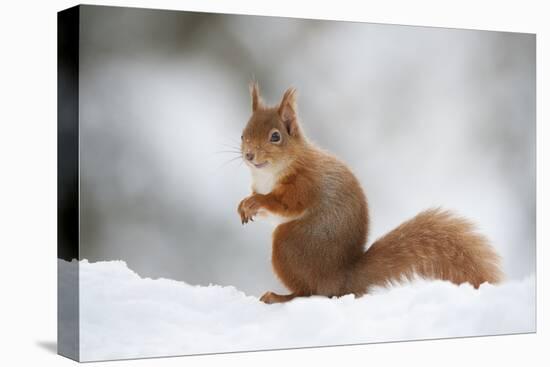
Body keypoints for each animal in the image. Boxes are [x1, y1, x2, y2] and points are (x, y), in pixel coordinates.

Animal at [237, 83, 504, 304]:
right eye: (242, 134)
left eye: (275, 136)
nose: (249, 155)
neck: (269, 173)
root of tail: (341, 279)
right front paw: (244, 206)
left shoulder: (305, 183)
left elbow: (286, 204)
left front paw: (257, 201)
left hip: (288, 244)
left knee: (309, 291)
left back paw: (280, 297)